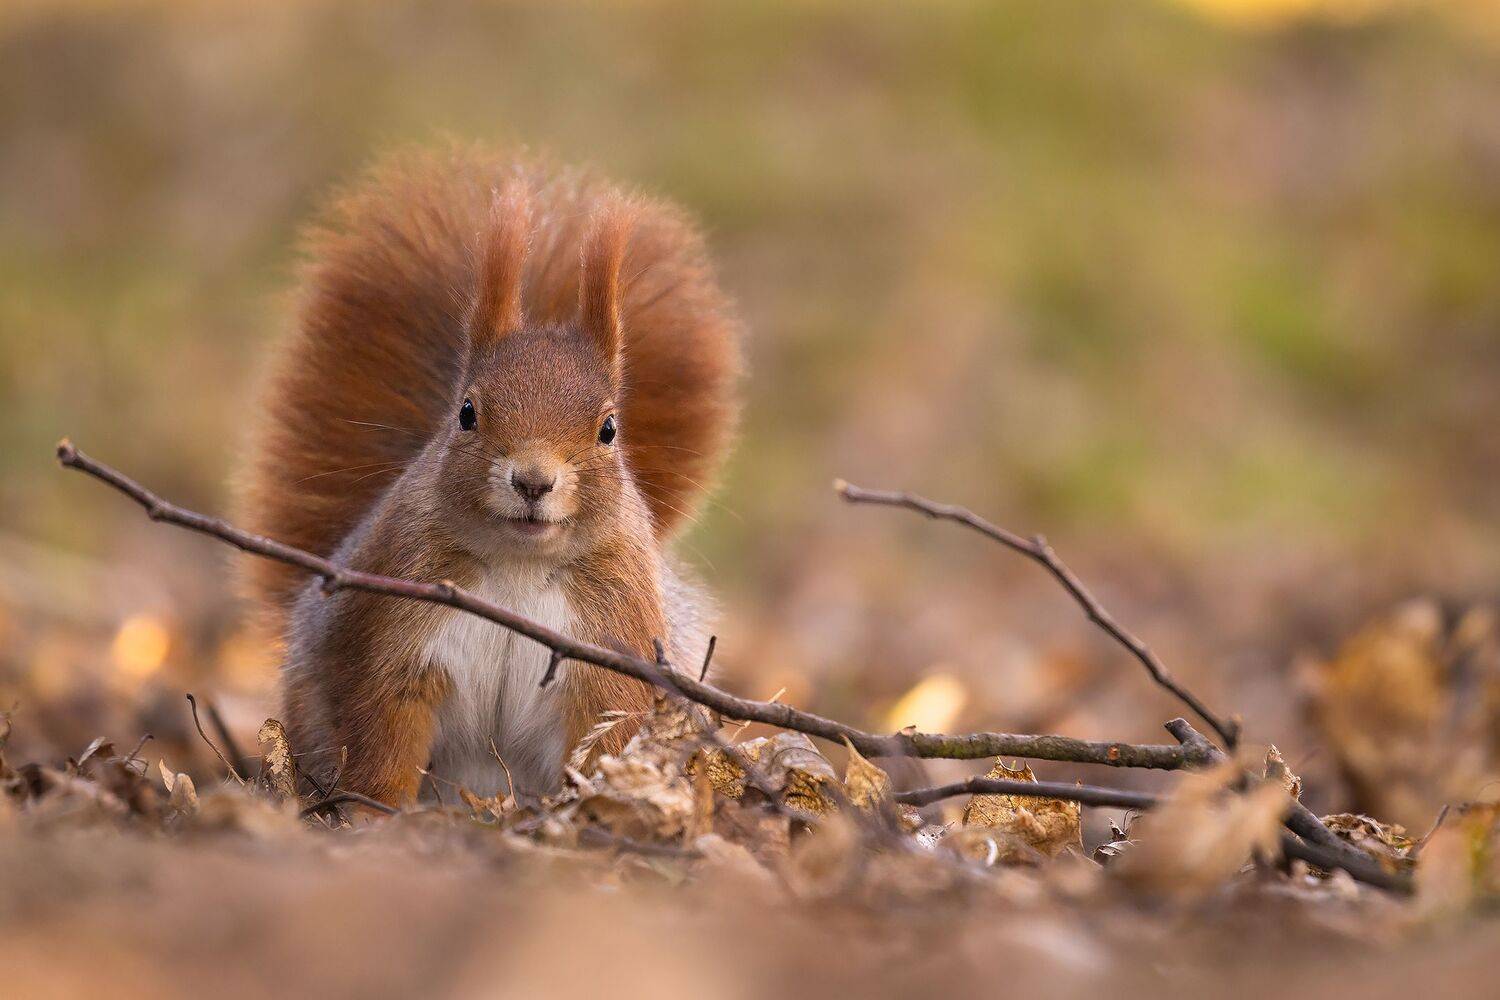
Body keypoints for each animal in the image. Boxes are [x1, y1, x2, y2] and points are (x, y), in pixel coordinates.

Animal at [237, 145, 741, 807]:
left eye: (609, 428)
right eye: (467, 412)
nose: (532, 481)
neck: (517, 564)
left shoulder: (612, 644)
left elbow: (609, 738)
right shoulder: (395, 631)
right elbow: (383, 736)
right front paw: (377, 814)